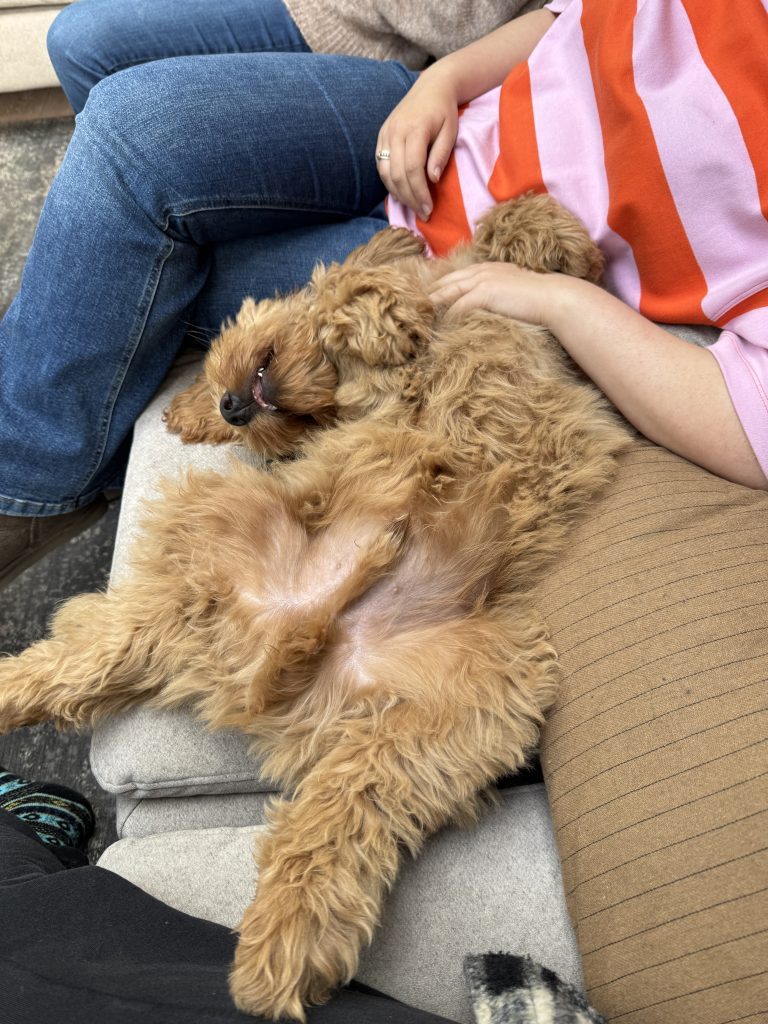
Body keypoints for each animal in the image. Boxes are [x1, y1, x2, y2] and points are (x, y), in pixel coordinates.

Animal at [0, 195, 630, 1019]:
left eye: (239, 382)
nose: (230, 405)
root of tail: (281, 635)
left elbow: (429, 260)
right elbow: (355, 288)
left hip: (433, 723)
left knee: (337, 825)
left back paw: (280, 948)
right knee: (80, 665)